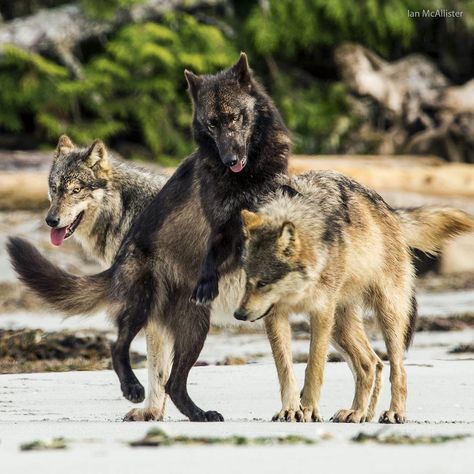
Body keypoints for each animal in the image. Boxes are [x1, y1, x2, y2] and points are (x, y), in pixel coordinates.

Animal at [234, 172, 474, 424]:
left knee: (397, 370)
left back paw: (394, 413)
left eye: (263, 283)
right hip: (340, 328)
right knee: (370, 363)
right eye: (248, 279)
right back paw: (358, 413)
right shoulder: (276, 316)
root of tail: (391, 212)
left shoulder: (320, 313)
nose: (238, 315)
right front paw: (290, 409)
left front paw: (308, 409)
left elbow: (314, 369)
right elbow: (285, 369)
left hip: (386, 317)